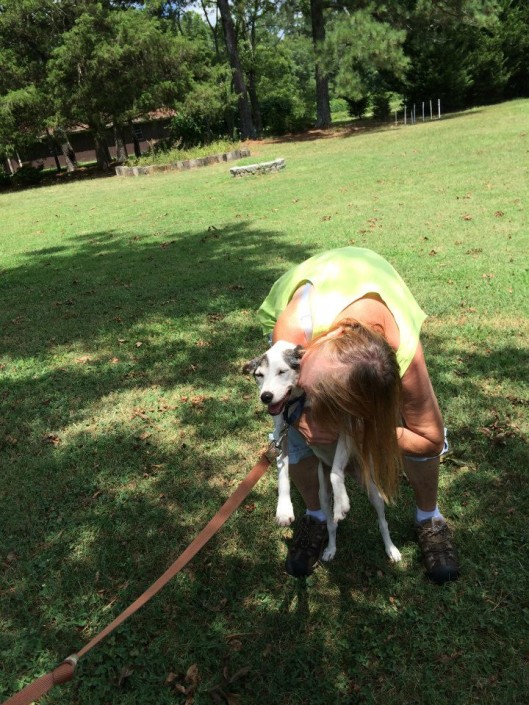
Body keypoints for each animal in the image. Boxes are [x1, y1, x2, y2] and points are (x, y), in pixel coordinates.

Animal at [243, 338, 400, 564]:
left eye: (282, 371)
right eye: (259, 375)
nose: (266, 396)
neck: (300, 401)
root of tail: (352, 471)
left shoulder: (346, 430)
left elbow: (335, 473)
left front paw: (342, 503)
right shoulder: (282, 435)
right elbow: (283, 474)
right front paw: (283, 509)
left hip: (373, 491)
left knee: (382, 521)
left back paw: (391, 549)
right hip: (323, 495)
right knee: (331, 524)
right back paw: (330, 549)